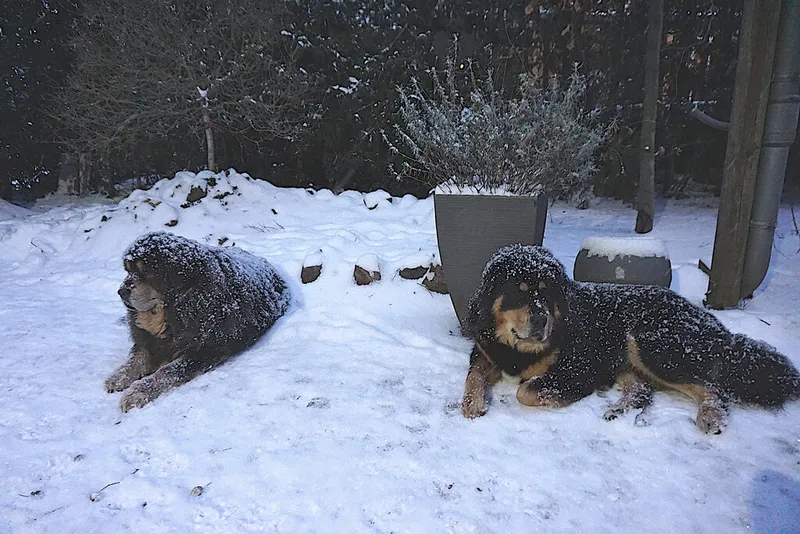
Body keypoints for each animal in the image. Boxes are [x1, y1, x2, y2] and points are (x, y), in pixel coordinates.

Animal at [105, 232, 291, 412]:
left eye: (146, 272)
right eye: (127, 271)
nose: (121, 291)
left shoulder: (204, 350)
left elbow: (168, 371)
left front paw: (138, 391)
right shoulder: (147, 341)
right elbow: (135, 358)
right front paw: (118, 377)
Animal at [460, 244, 800, 434]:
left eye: (546, 292)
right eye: (517, 291)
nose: (543, 319)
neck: (518, 347)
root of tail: (713, 324)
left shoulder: (581, 367)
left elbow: (526, 391)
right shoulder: (485, 351)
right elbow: (473, 375)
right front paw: (471, 403)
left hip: (649, 342)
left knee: (711, 387)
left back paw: (711, 417)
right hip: (627, 354)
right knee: (642, 391)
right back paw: (621, 410)